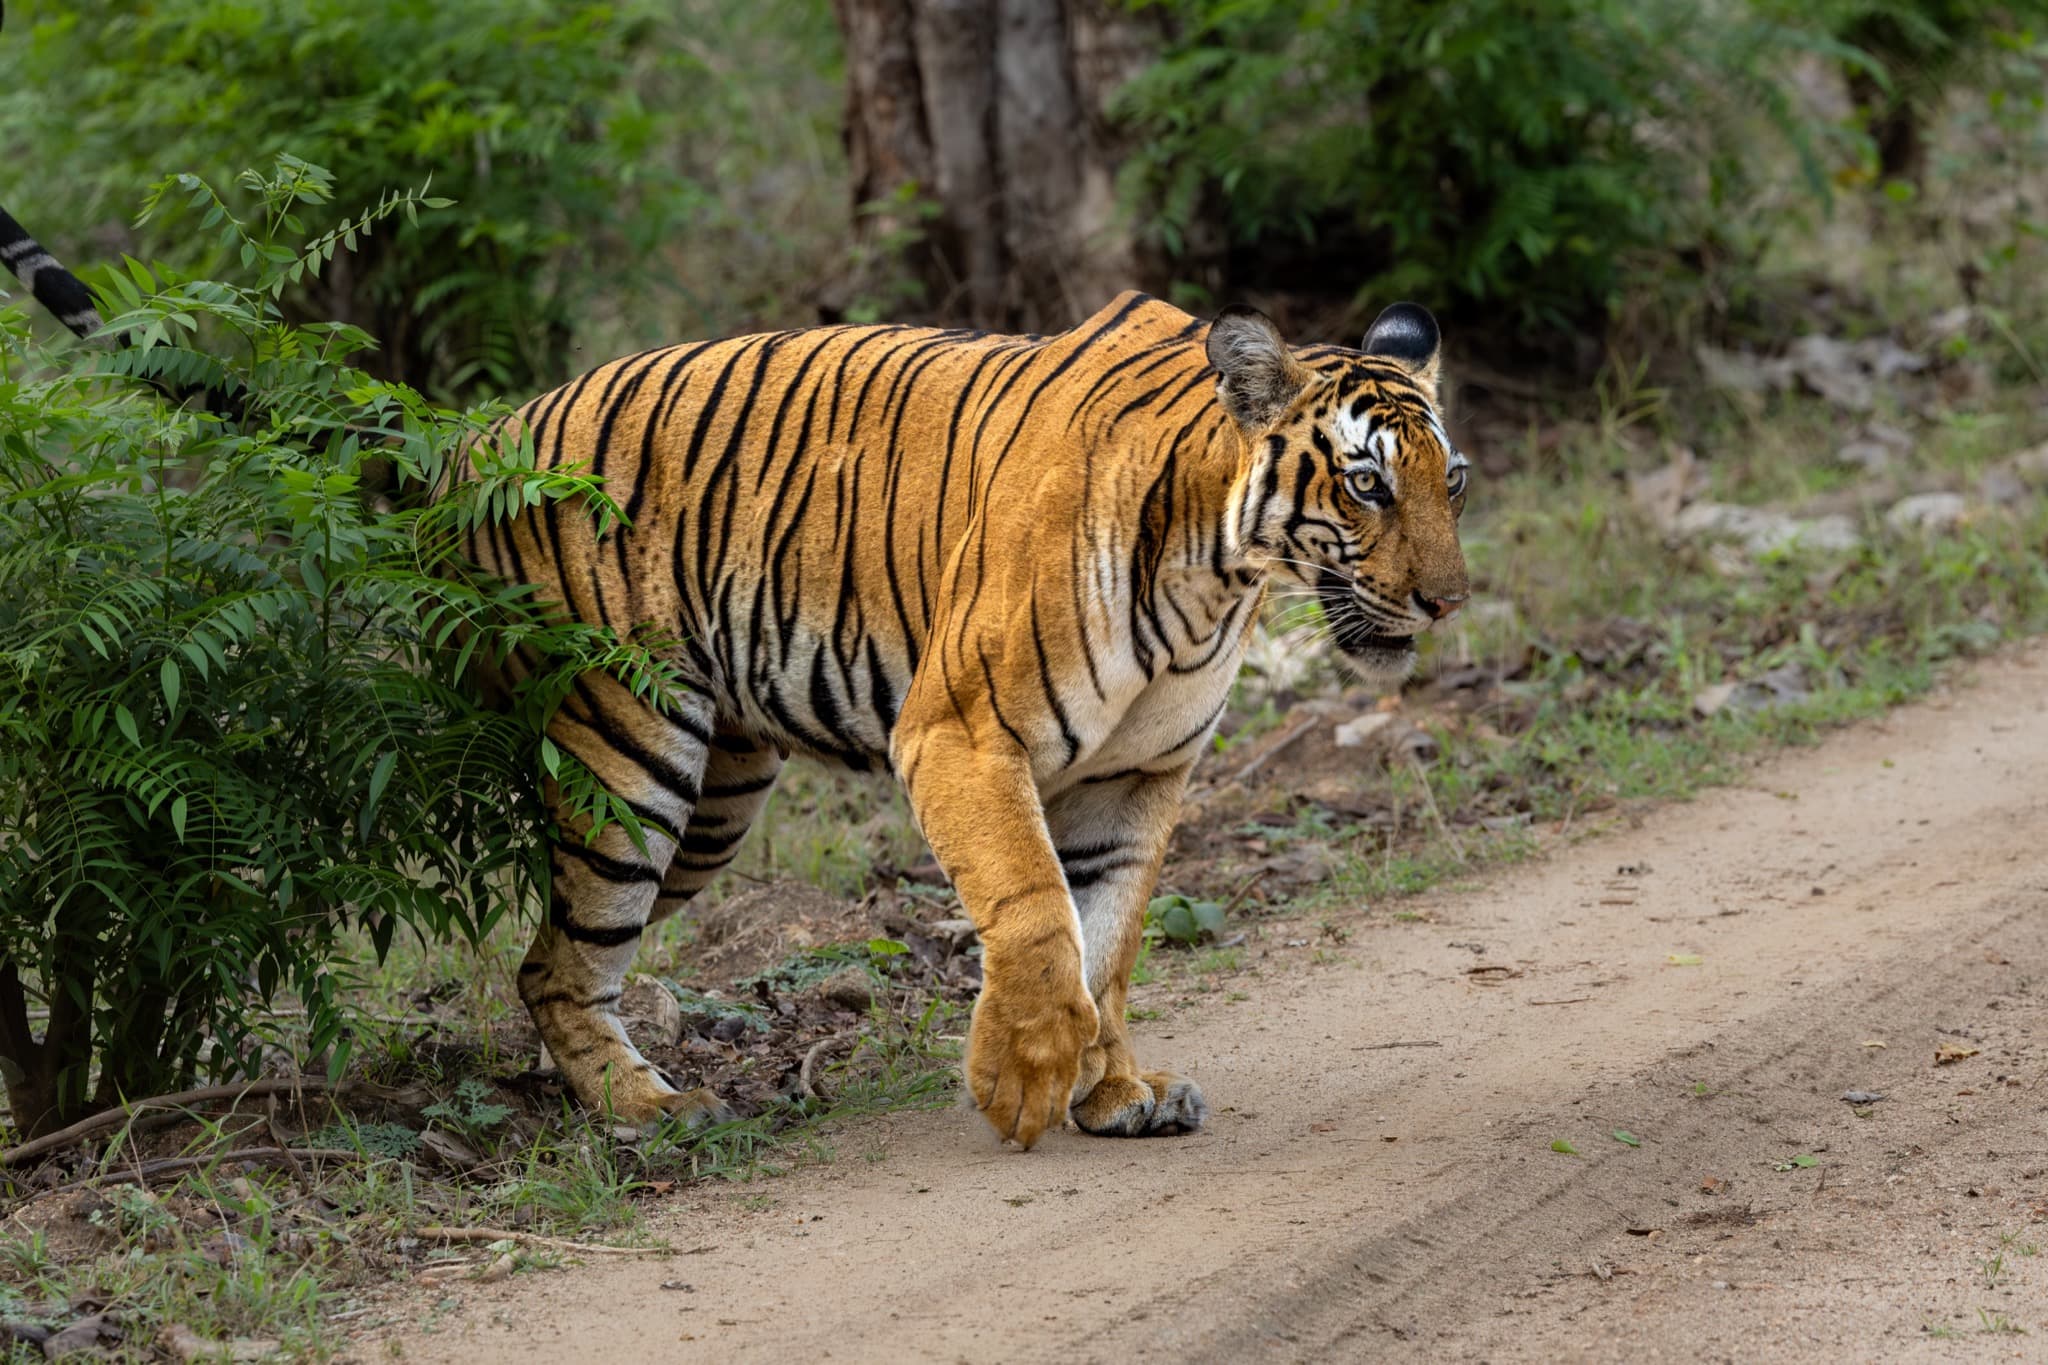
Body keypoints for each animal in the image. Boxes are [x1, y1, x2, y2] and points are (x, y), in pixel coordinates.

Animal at [466, 290, 1472, 1148]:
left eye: (1451, 483)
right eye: (1368, 486)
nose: (1449, 601)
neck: (1214, 576)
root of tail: (487, 437)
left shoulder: (1136, 774)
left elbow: (1108, 936)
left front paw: (1112, 1091)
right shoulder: (962, 731)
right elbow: (1038, 910)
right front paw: (1022, 1079)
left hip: (715, 802)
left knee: (547, 953)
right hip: (632, 755)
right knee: (563, 961)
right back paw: (650, 1107)